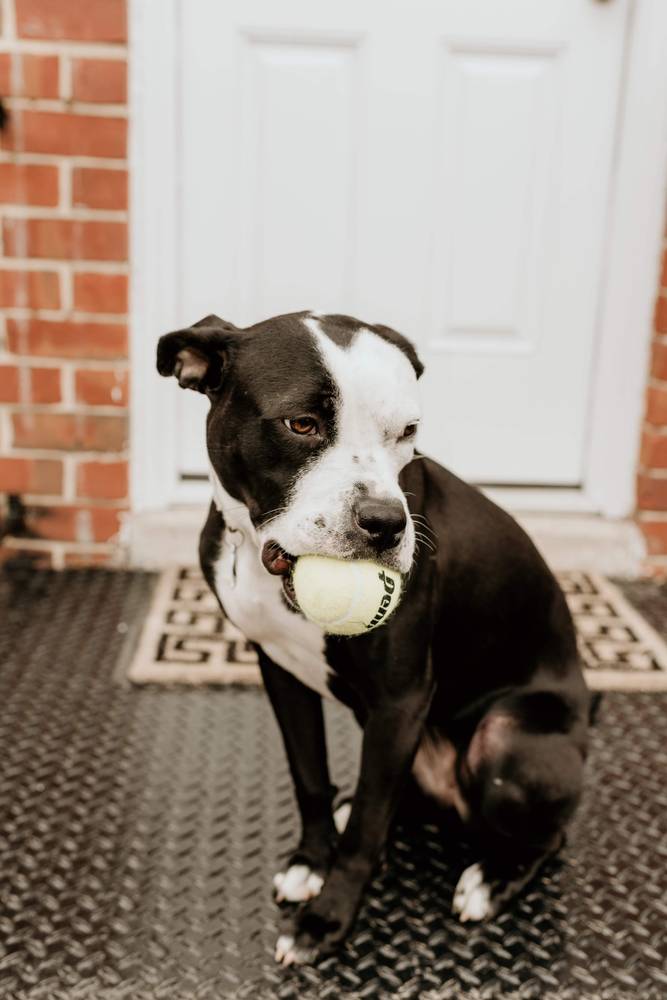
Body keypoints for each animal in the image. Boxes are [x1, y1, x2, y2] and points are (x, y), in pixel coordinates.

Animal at [159, 310, 592, 960]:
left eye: (406, 431)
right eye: (302, 424)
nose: (386, 525)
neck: (257, 553)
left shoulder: (400, 701)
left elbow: (367, 829)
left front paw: (327, 917)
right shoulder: (280, 671)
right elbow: (309, 776)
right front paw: (311, 862)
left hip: (507, 743)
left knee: (550, 838)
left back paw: (491, 880)